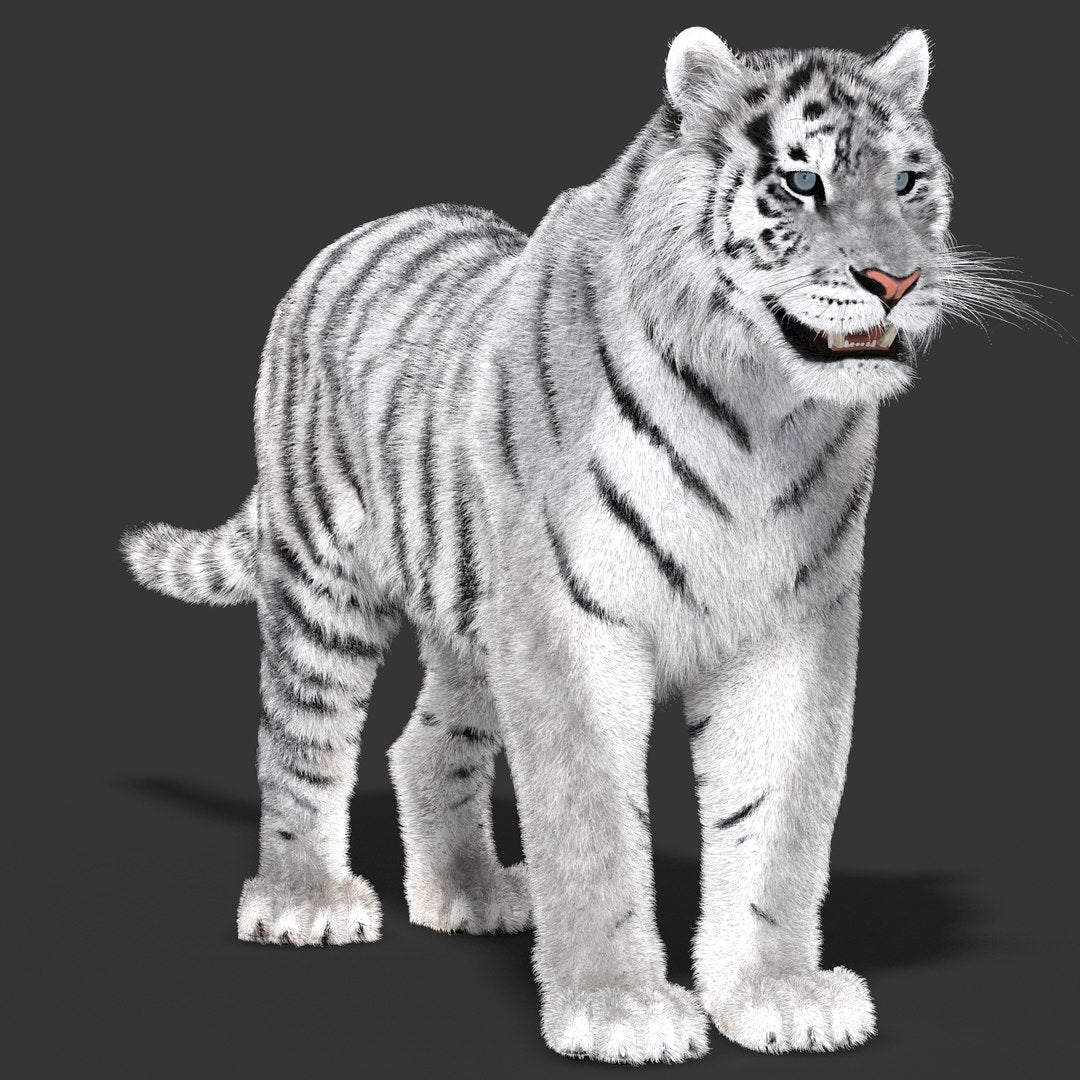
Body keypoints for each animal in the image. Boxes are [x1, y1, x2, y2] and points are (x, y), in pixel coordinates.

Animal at [123, 26, 999, 1064]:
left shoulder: (789, 626)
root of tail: (355, 234)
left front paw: (777, 996)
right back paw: (306, 903)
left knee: (425, 746)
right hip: (324, 581)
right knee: (300, 737)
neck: (755, 407)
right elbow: (593, 824)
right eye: (800, 183)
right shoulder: (571, 623)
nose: (899, 282)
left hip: (473, 617)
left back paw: (473, 893)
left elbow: (775, 826)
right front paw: (619, 1010)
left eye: (908, 182)